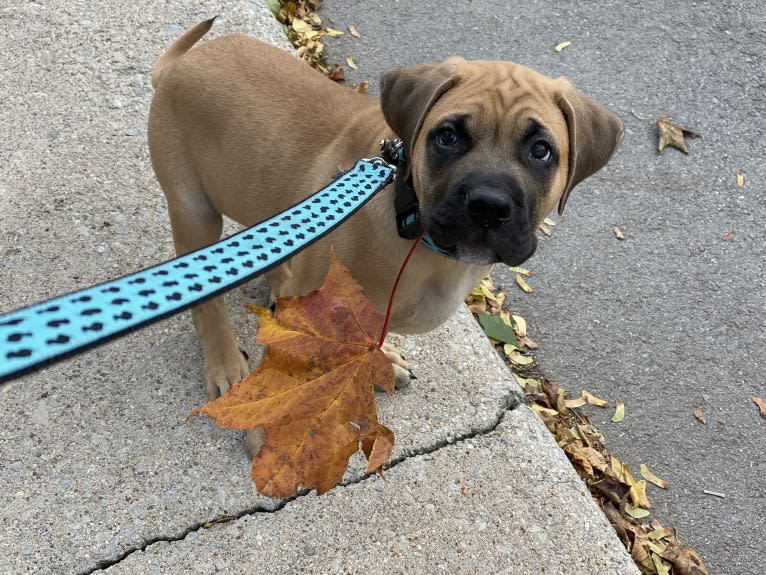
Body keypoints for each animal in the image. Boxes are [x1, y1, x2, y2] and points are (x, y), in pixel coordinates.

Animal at [148, 20, 624, 400]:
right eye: (448, 137)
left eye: (541, 150)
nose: (488, 205)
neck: (411, 225)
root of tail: (177, 66)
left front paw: (381, 363)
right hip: (193, 208)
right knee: (205, 303)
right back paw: (226, 365)